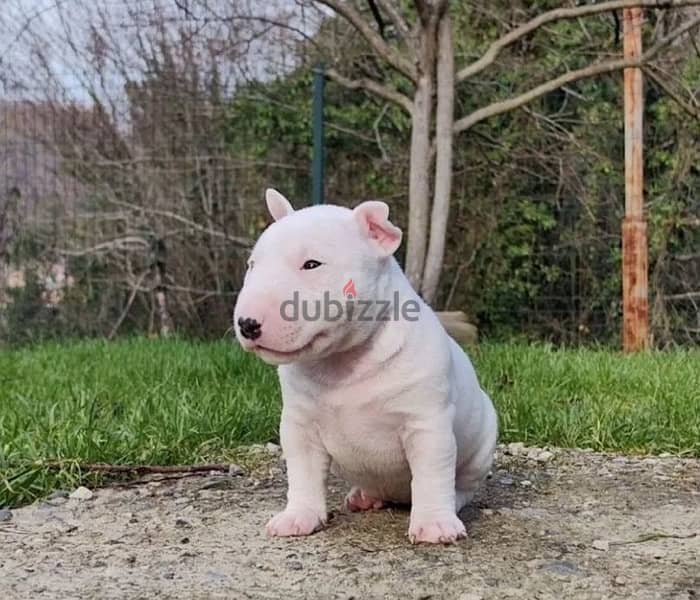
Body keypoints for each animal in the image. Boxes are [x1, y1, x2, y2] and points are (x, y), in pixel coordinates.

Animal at [235, 189, 498, 544]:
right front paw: (298, 516)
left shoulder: (427, 424)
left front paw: (434, 524)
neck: (343, 360)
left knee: (462, 485)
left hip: (483, 442)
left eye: (312, 264)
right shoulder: (299, 426)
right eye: (252, 265)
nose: (246, 324)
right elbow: (303, 473)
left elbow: (431, 474)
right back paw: (365, 496)